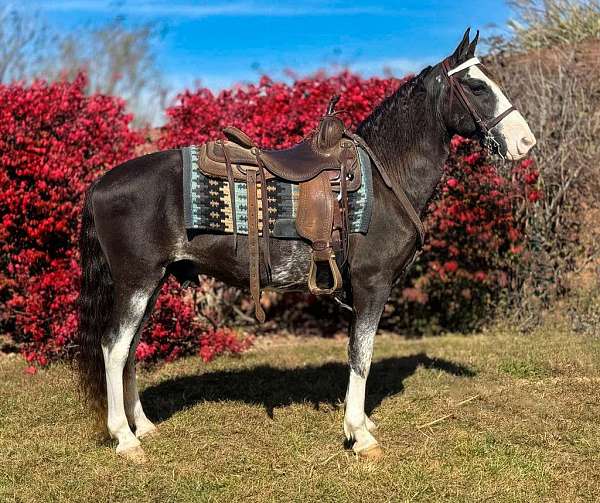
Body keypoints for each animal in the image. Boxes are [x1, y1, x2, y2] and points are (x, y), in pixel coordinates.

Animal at [76, 30, 536, 464]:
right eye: (477, 87)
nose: (526, 142)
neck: (385, 177)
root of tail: (99, 184)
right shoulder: (373, 285)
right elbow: (361, 355)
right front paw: (360, 434)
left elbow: (357, 353)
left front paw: (360, 420)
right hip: (137, 282)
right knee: (114, 348)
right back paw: (125, 439)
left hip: (152, 283)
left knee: (131, 349)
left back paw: (144, 426)